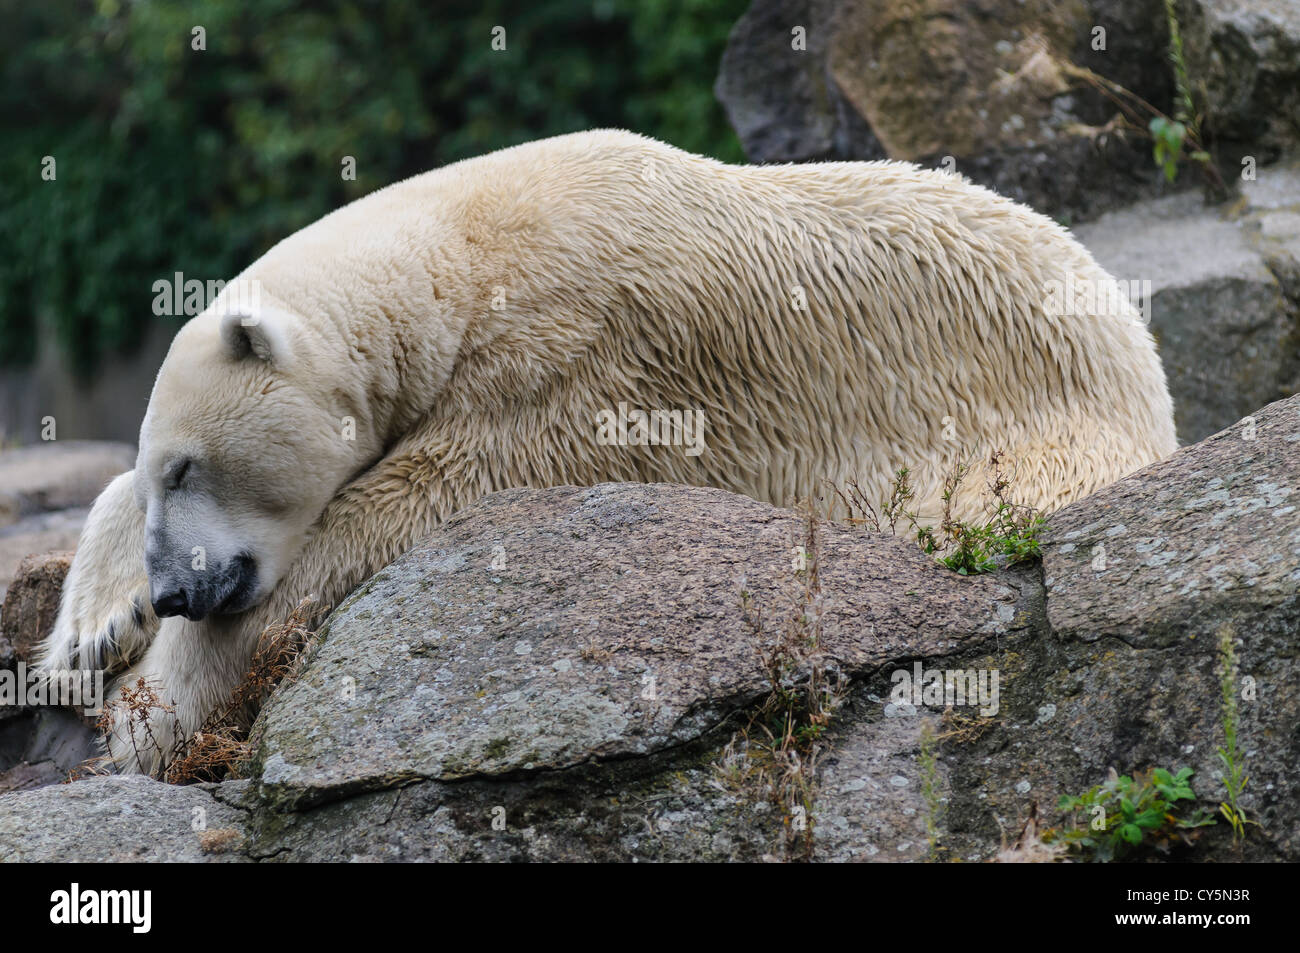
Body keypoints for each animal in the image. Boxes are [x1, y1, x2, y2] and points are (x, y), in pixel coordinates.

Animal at [37, 129, 1176, 774]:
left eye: (191, 466)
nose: (174, 589)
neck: (460, 253)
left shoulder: (576, 346)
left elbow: (415, 500)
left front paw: (147, 714)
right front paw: (88, 633)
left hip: (1029, 438)